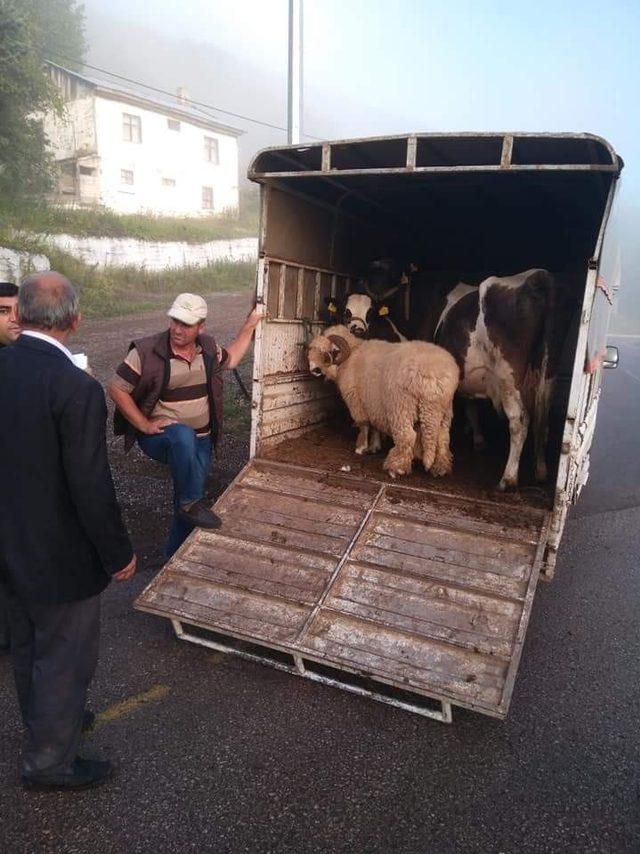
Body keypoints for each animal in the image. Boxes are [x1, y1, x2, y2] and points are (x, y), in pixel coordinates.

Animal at [308, 324, 460, 478]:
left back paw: (396, 468)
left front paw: (361, 448)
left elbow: (363, 424)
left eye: (329, 351)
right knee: (442, 437)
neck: (351, 355)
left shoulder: (356, 401)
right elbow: (375, 426)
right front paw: (375, 446)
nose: (313, 369)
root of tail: (433, 377)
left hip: (401, 406)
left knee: (407, 436)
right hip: (443, 410)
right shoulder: (373, 404)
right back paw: (440, 467)